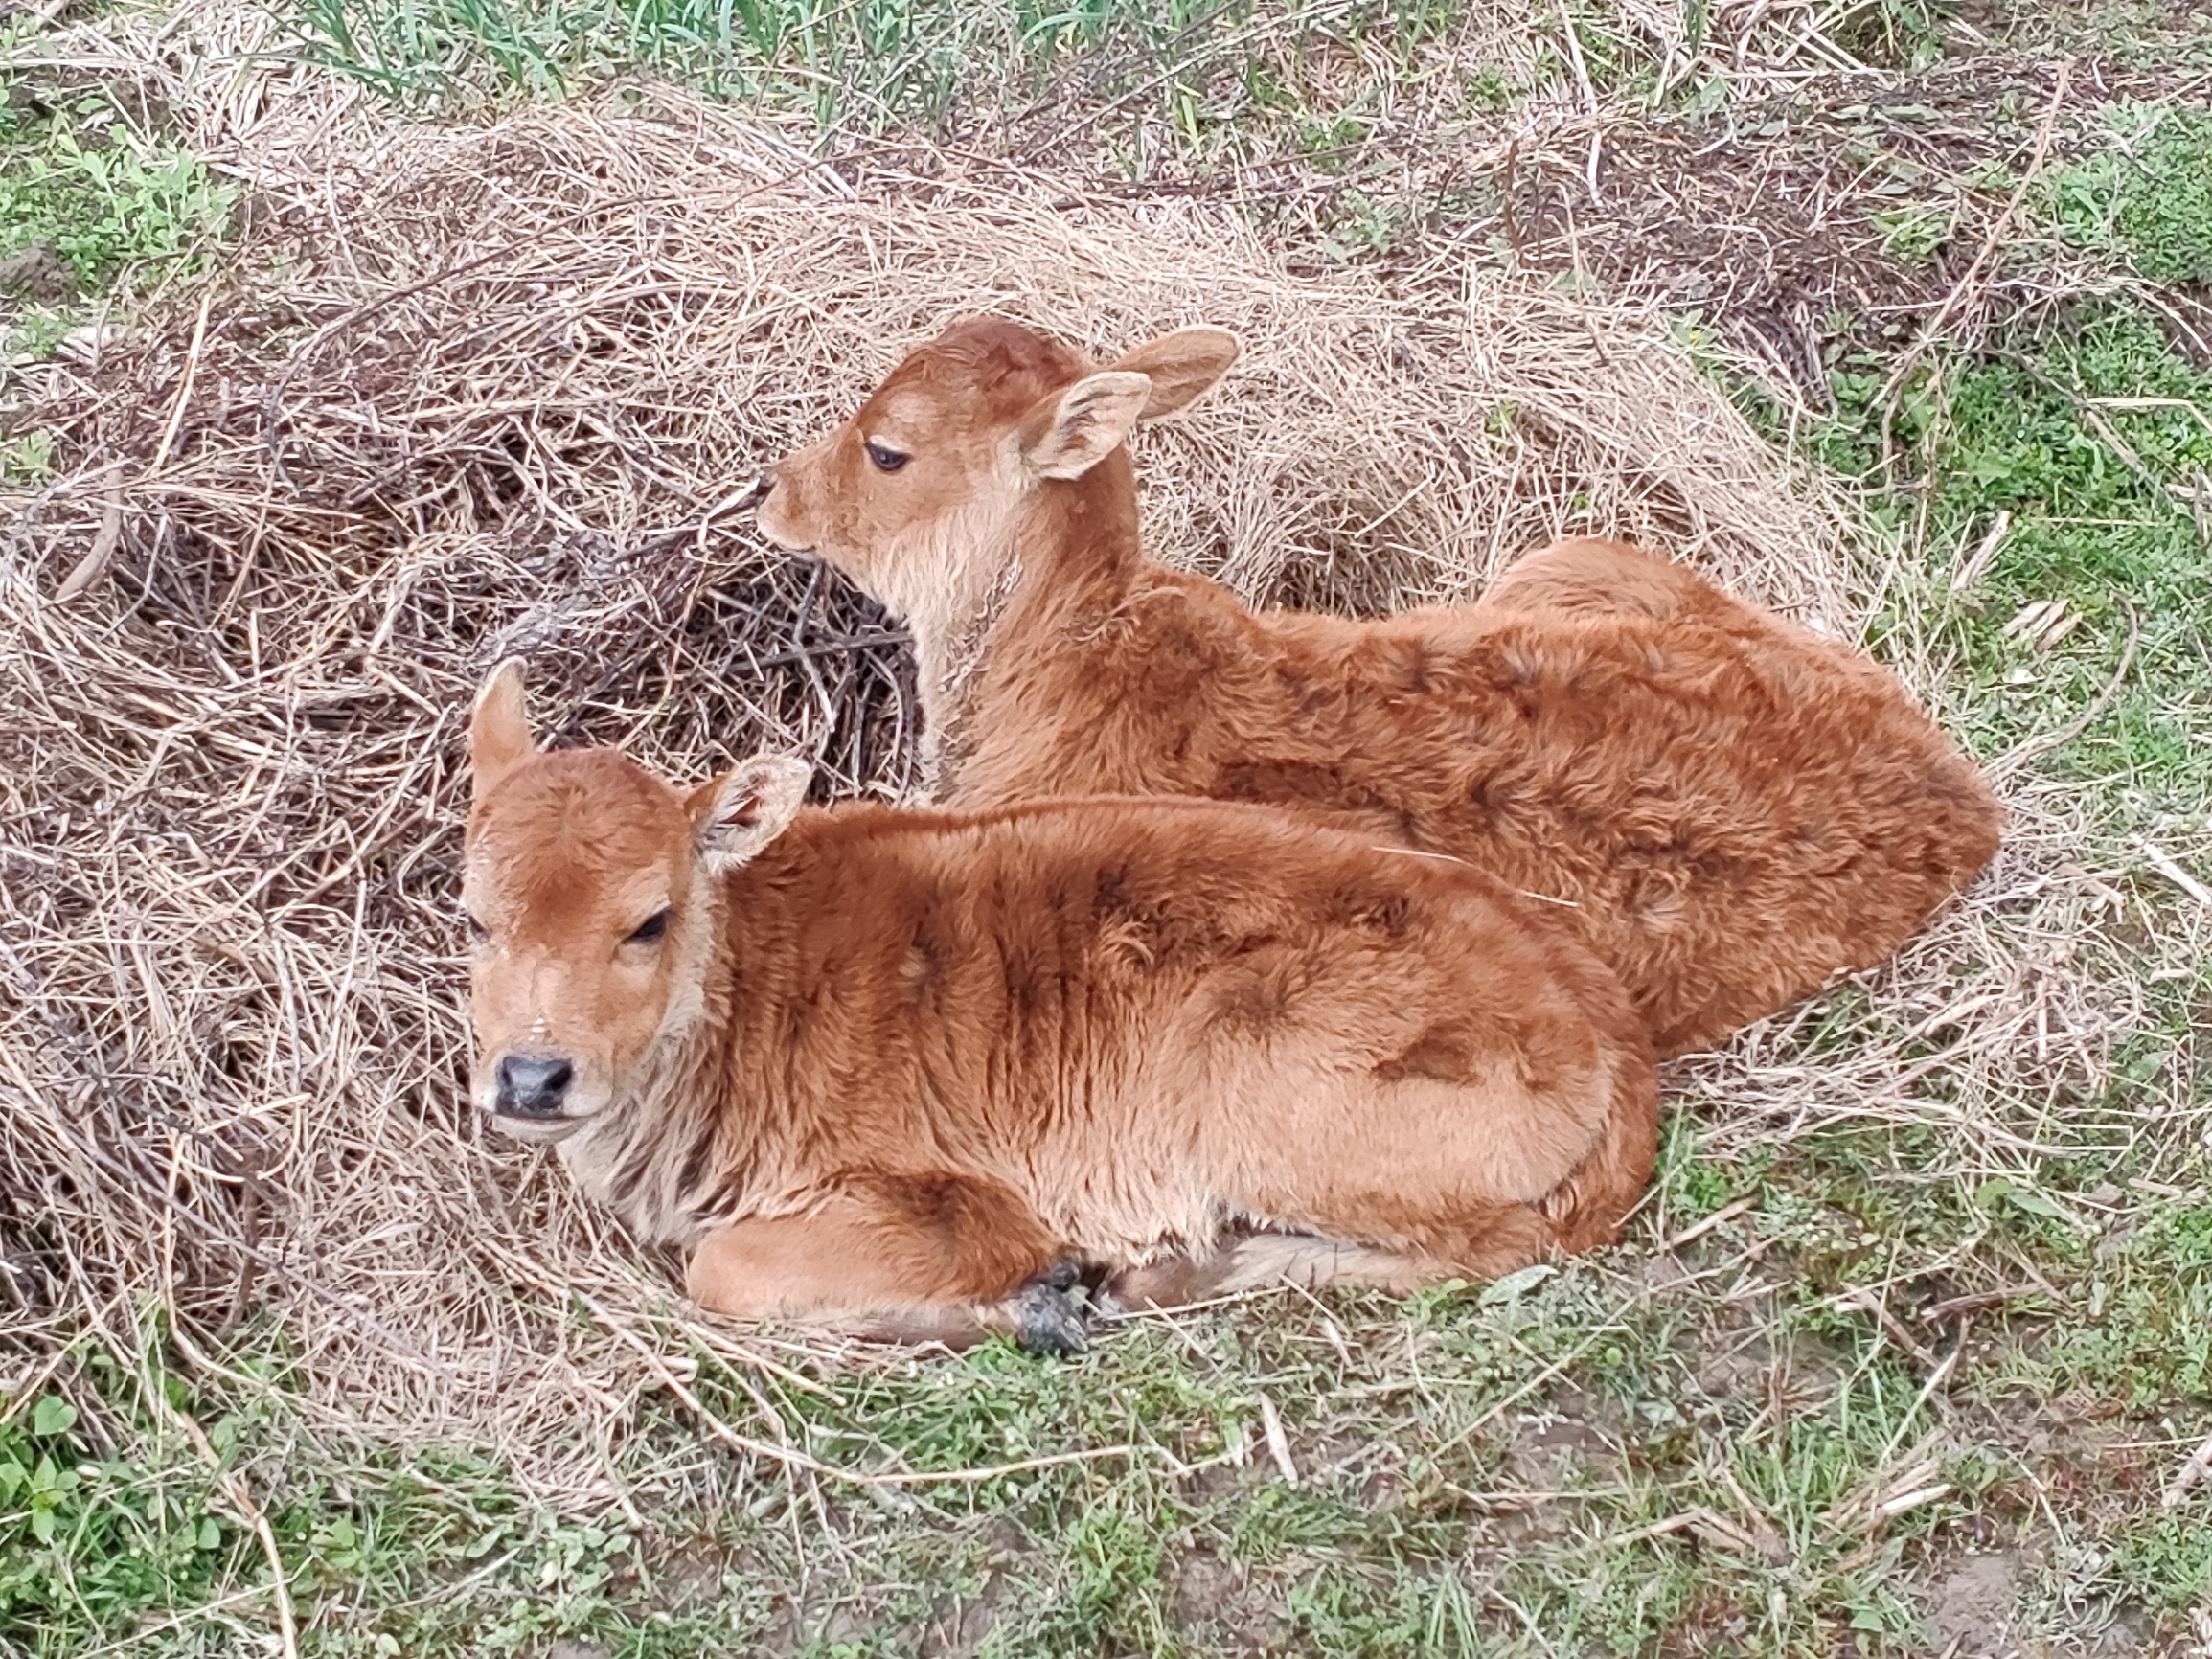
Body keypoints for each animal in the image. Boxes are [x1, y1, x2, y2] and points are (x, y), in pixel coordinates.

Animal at [457, 663, 1654, 1353]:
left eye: (649, 919)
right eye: (472, 915)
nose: (532, 1076)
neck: (756, 974)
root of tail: (1603, 1018)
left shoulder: (949, 1200)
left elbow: (725, 1269)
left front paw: (1039, 1300)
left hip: (1254, 1075)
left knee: (1495, 1243)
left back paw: (1186, 1268)